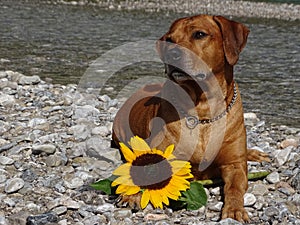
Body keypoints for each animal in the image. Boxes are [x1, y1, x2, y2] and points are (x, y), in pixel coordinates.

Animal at [112, 14, 270, 222]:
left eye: (199, 34)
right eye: (170, 40)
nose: (172, 55)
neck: (202, 111)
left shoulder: (235, 165)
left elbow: (235, 187)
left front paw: (234, 209)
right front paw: (132, 194)